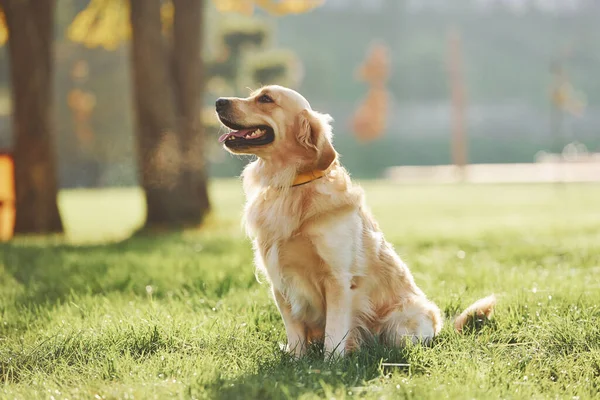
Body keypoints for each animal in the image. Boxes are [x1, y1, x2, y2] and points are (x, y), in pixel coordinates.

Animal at [213, 86, 494, 358]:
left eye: (266, 99)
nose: (218, 101)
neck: (292, 184)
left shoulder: (338, 279)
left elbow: (335, 333)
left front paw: (331, 364)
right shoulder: (280, 280)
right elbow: (295, 334)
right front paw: (296, 361)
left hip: (403, 324)